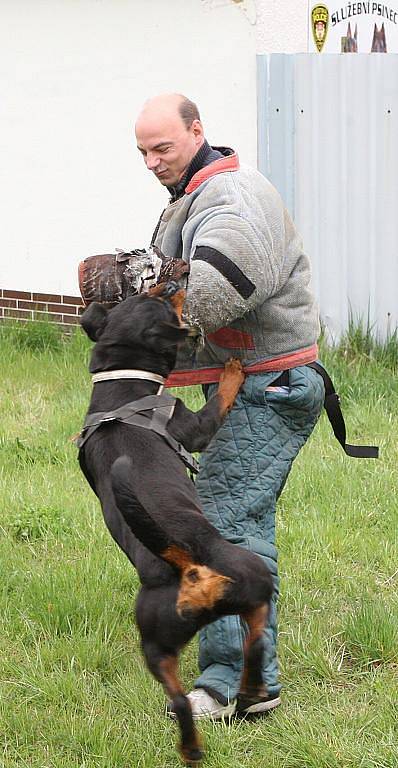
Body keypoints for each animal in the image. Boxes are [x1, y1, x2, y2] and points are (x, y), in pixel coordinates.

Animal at [78, 290, 274, 768]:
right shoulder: (194, 426)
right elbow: (218, 404)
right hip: (253, 574)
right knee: (255, 642)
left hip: (159, 639)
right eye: (159, 301)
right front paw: (232, 372)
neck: (120, 382)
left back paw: (196, 743)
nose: (170, 286)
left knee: (183, 698)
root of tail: (189, 567)